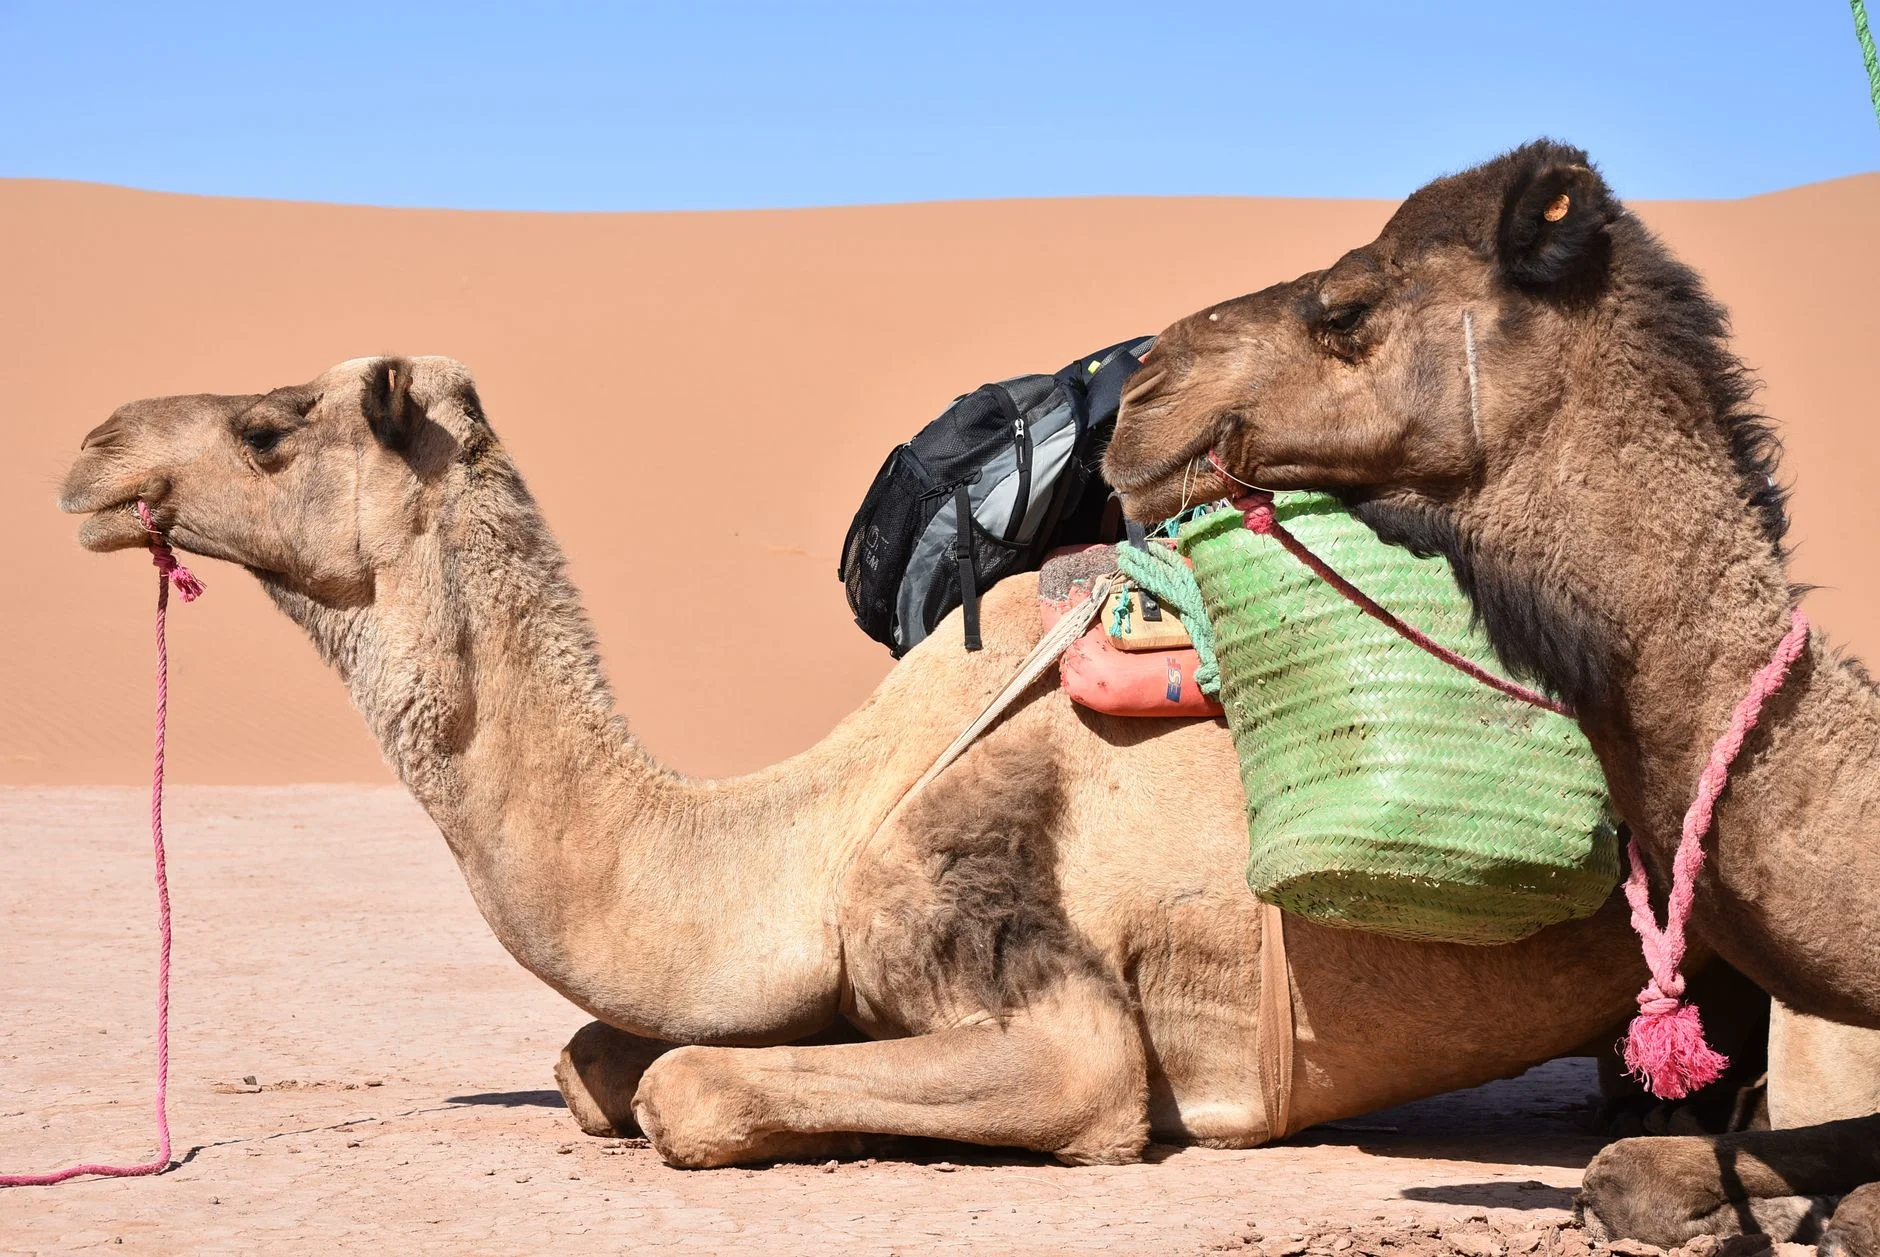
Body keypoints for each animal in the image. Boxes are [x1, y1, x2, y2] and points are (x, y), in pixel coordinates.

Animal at [60, 353, 1739, 1171]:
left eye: (269, 428)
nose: (86, 451)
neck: (807, 829)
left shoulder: (1017, 952)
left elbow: (684, 1089)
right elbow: (599, 1063)